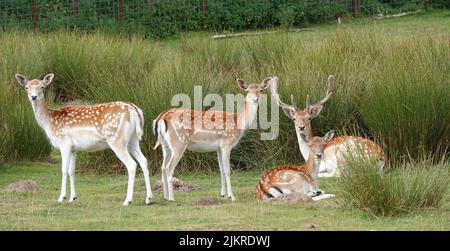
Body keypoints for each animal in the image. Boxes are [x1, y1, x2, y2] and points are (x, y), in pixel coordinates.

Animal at [15, 73, 153, 206]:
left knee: (132, 164)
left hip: (117, 140)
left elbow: (64, 170)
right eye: (26, 87)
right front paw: (73, 198)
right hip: (133, 140)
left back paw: (127, 200)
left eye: (42, 87)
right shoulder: (73, 148)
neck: (50, 122)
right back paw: (149, 198)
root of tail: (136, 111)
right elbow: (71, 170)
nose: (33, 97)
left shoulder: (64, 143)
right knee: (144, 160)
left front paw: (61, 198)